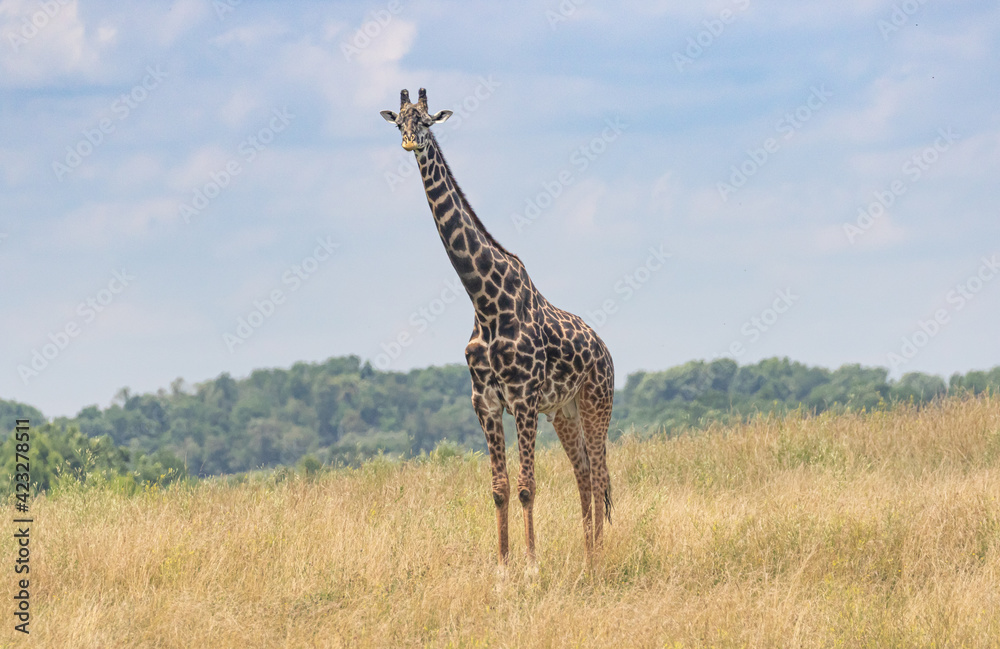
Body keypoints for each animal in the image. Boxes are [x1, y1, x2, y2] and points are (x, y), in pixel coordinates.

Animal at [381, 88, 615, 564]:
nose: (411, 143)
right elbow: (500, 489)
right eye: (399, 123)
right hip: (565, 411)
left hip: (597, 402)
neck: (484, 302)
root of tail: (606, 351)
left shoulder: (523, 399)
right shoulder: (486, 403)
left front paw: (531, 565)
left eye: (426, 122)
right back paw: (587, 553)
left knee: (600, 476)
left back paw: (598, 558)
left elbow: (526, 487)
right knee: (584, 475)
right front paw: (504, 565)